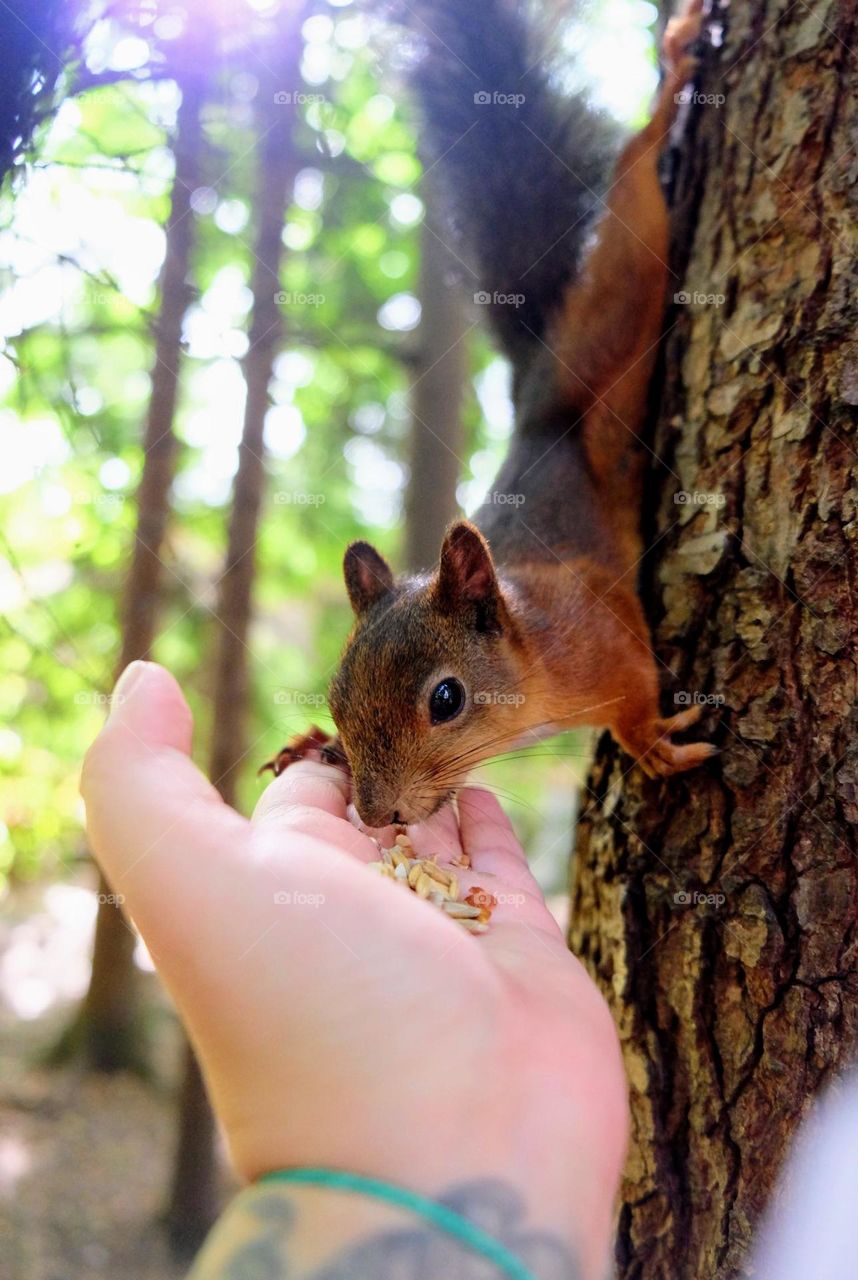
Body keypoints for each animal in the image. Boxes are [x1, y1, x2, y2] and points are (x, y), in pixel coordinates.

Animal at [263, 0, 717, 829]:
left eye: (447, 700)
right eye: (337, 696)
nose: (377, 816)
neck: (530, 660)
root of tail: (537, 393)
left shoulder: (598, 636)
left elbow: (635, 691)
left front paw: (649, 742)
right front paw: (313, 743)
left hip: (614, 306)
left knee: (633, 187)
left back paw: (670, 80)